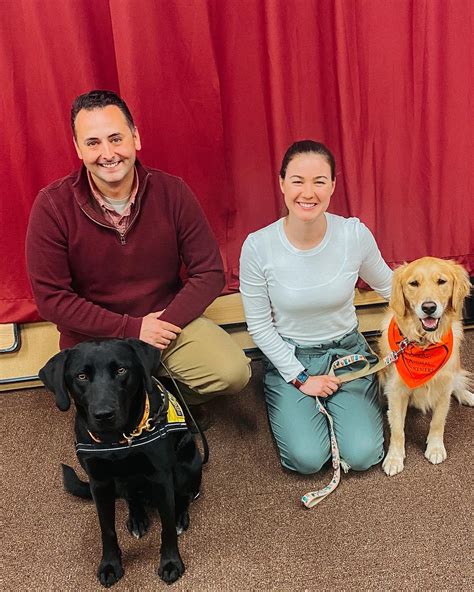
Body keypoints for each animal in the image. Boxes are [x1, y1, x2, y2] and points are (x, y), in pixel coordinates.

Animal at [40, 338, 202, 588]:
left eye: (121, 370)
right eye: (81, 376)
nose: (104, 414)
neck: (117, 438)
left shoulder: (161, 477)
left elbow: (166, 527)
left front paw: (171, 563)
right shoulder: (99, 483)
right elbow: (107, 529)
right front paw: (110, 565)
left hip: (188, 465)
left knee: (183, 497)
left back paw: (179, 517)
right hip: (121, 483)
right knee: (132, 499)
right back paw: (137, 519)